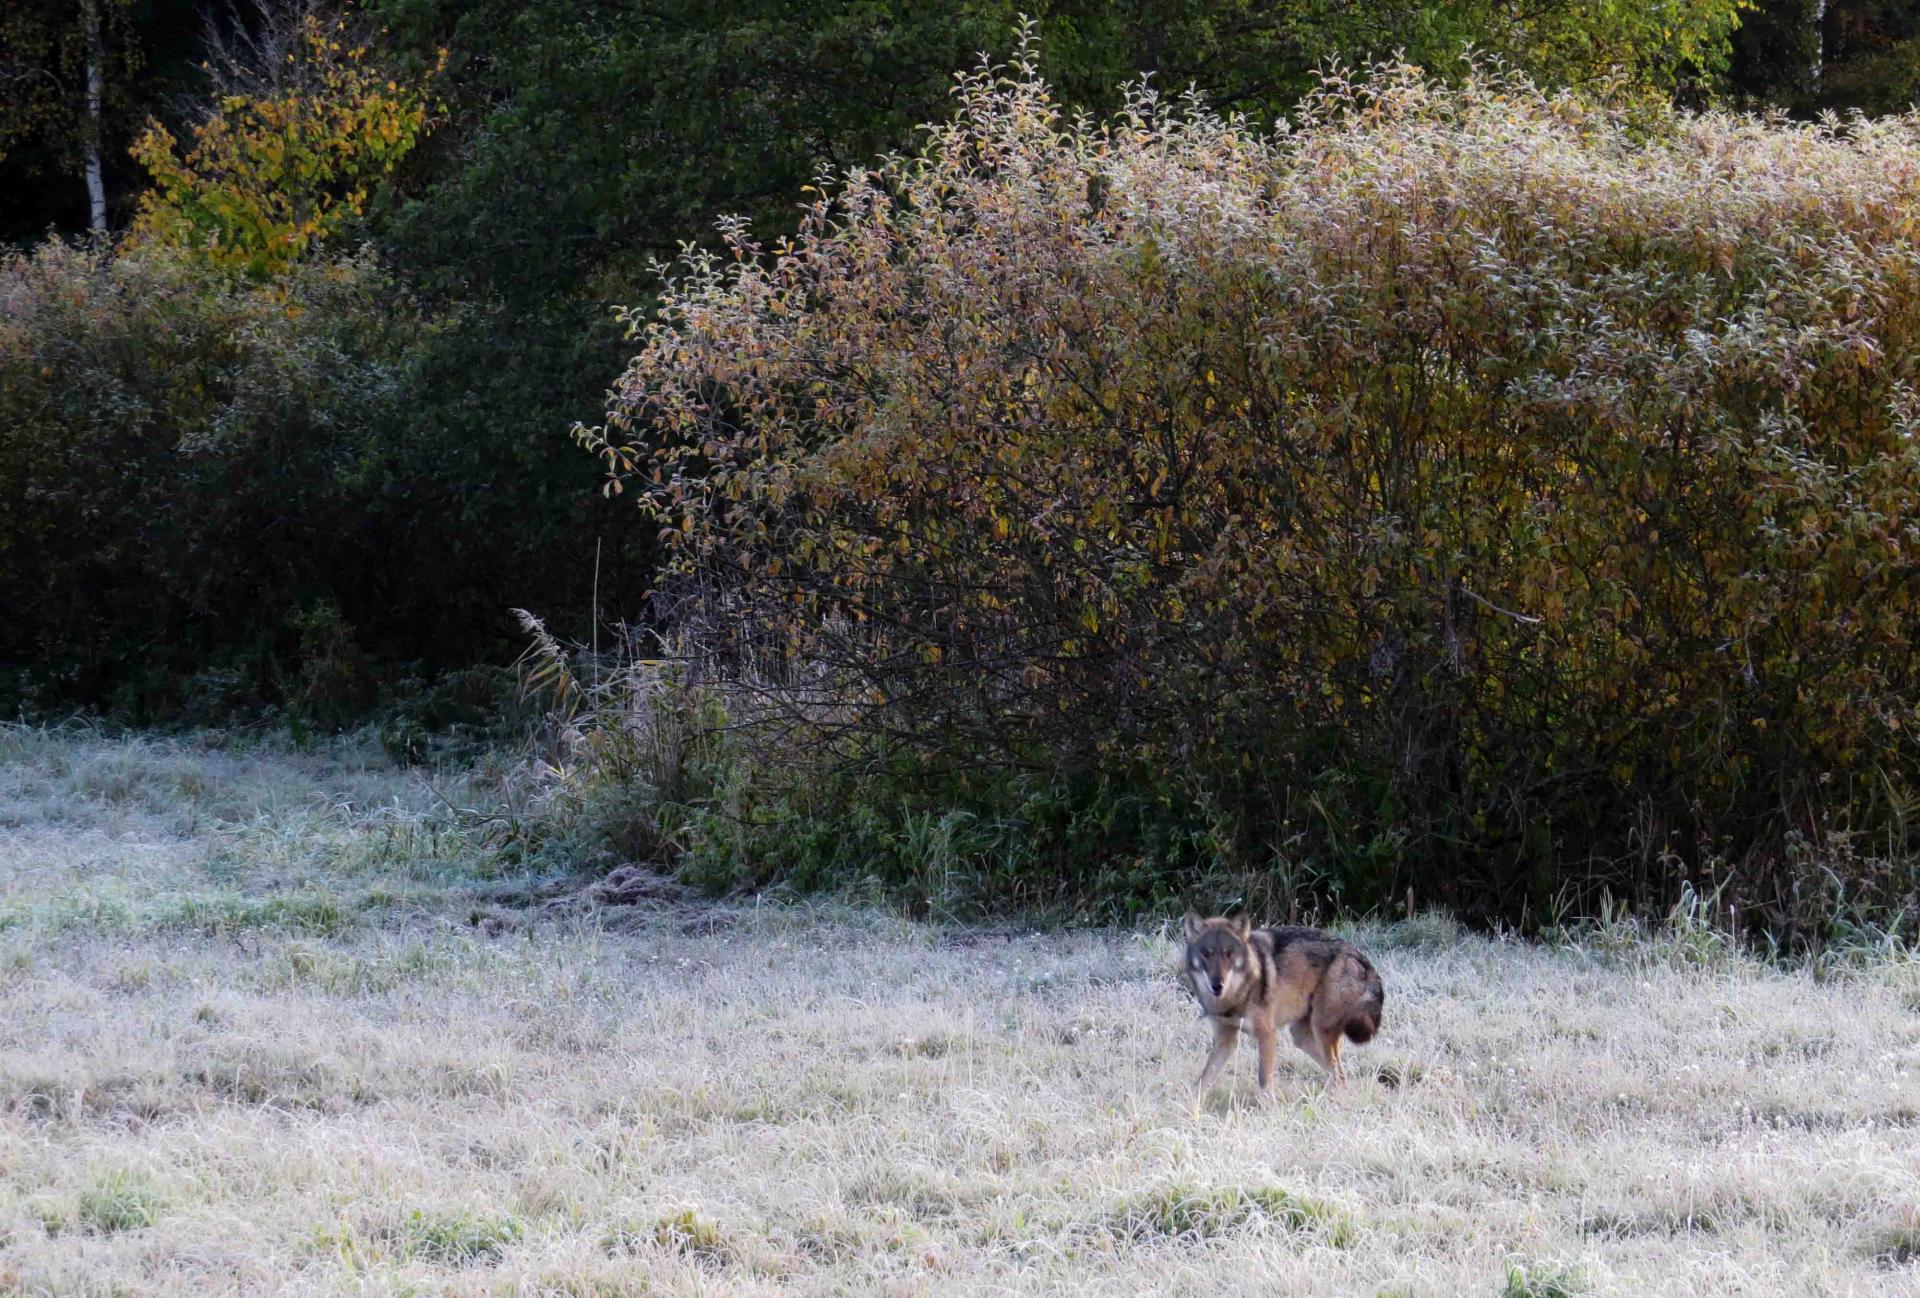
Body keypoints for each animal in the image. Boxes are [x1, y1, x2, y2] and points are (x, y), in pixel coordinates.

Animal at [1182, 913, 1382, 1105]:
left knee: (1339, 1074)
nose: (1217, 985)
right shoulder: (1226, 1041)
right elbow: (1203, 1080)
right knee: (1339, 1075)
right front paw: (1190, 1108)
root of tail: (1360, 957)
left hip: (1320, 1032)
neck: (1235, 996)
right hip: (1301, 1037)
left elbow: (1264, 1081)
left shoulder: (1267, 1035)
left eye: (1228, 954)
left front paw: (1267, 1110)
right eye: (1206, 954)